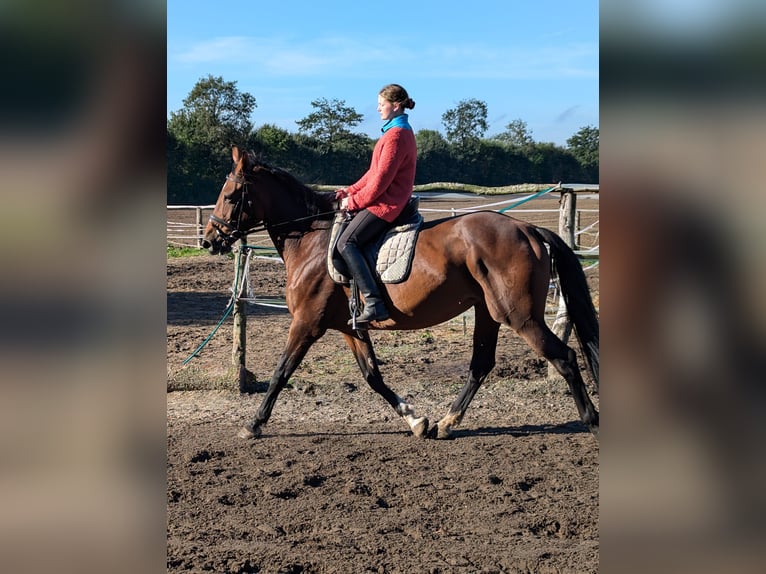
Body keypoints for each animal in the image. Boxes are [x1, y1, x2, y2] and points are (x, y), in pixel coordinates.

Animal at [201, 147, 596, 440]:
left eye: (231, 196)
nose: (209, 240)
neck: (311, 240)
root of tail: (528, 228)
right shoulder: (349, 327)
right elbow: (372, 376)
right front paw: (415, 420)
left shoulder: (307, 323)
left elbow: (282, 371)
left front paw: (253, 424)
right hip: (489, 313)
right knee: (481, 365)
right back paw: (446, 423)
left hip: (520, 315)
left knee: (564, 357)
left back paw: (590, 419)